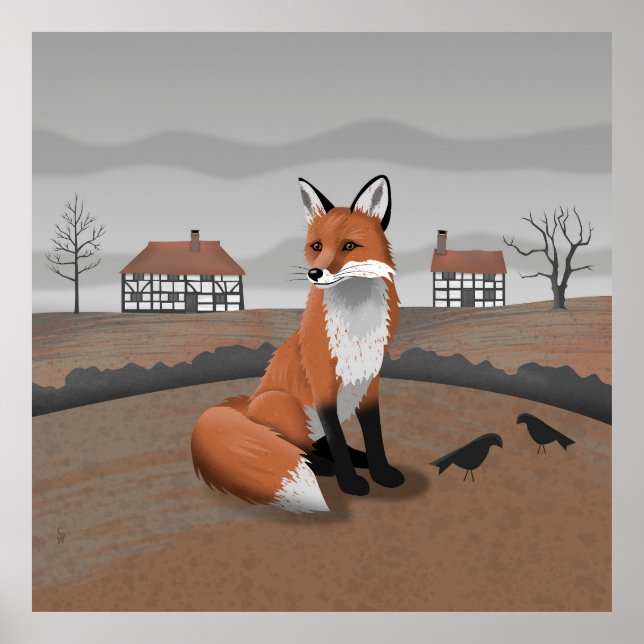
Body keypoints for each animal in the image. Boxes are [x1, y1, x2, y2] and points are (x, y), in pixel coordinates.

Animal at [191, 175, 404, 512]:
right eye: (317, 246)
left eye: (349, 246)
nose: (315, 273)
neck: (357, 326)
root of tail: (247, 405)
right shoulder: (322, 384)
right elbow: (337, 440)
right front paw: (350, 483)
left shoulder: (370, 382)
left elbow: (374, 437)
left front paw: (381, 471)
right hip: (286, 406)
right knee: (297, 446)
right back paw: (325, 467)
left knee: (318, 444)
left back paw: (356, 459)